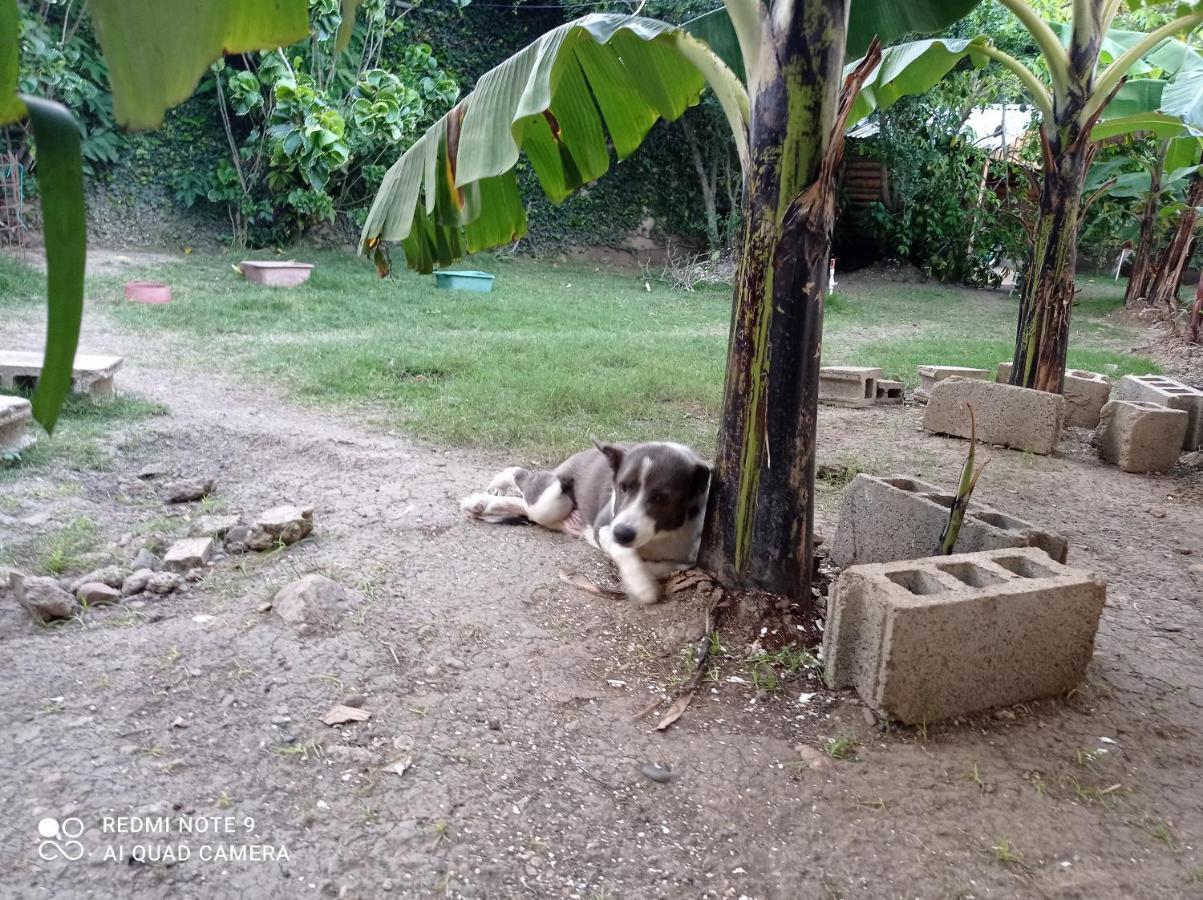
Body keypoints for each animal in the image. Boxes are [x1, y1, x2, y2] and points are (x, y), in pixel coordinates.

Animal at [454, 442, 707, 604]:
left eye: (662, 498)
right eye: (622, 487)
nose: (622, 533)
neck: (660, 536)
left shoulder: (689, 556)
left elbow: (666, 566)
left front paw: (643, 575)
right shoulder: (604, 528)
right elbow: (625, 552)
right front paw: (640, 585)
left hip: (552, 511)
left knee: (524, 504)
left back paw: (479, 504)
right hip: (551, 499)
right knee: (523, 478)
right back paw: (496, 485)